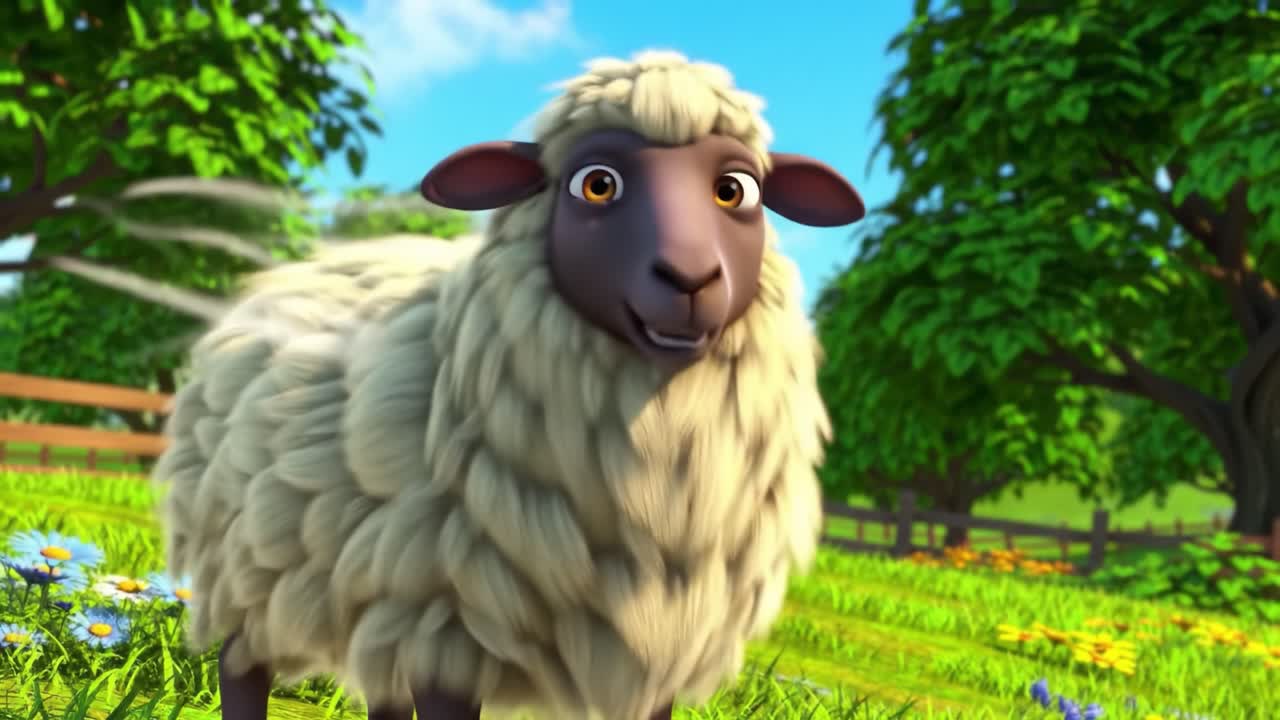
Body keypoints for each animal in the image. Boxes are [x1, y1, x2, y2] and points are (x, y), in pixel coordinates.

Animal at [152, 49, 866, 720]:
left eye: (735, 189)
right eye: (596, 184)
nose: (690, 279)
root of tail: (276, 280)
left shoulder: (663, 634)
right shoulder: (448, 626)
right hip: (250, 569)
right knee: (241, 667)